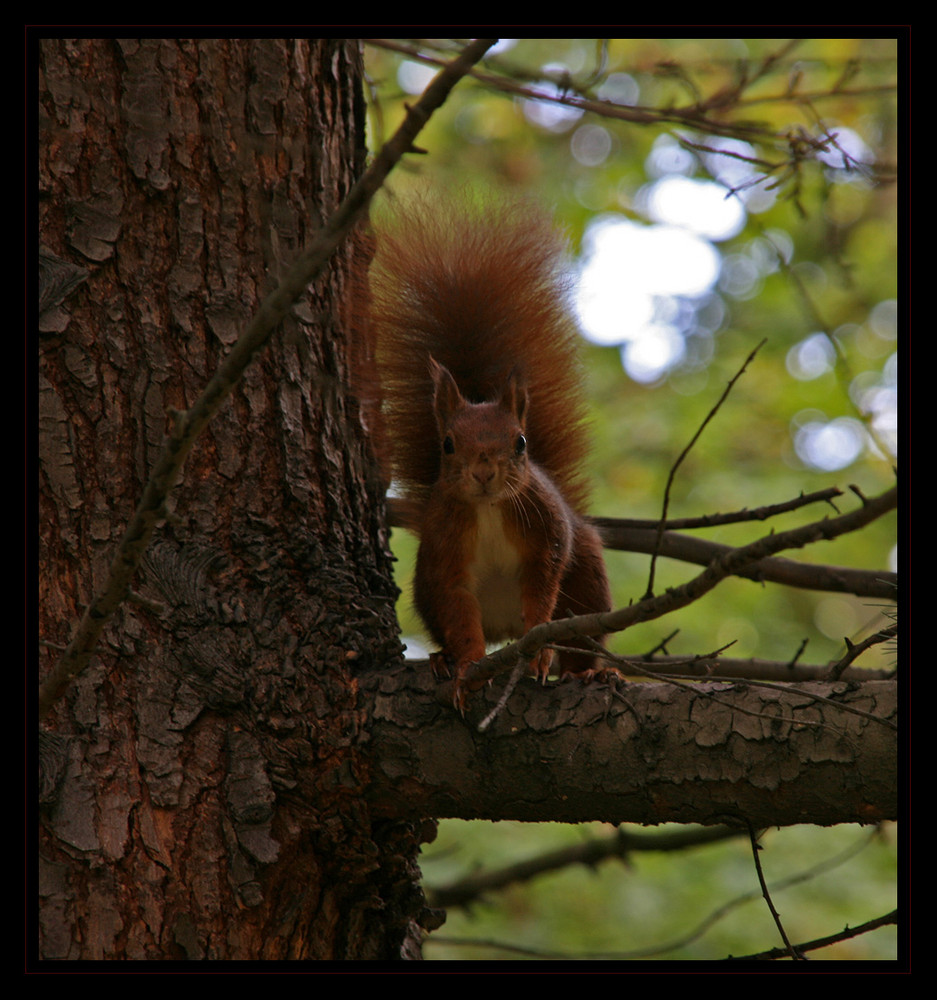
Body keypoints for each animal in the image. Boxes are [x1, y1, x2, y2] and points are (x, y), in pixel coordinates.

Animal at [370, 195, 612, 708]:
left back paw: (589, 674)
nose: (484, 474)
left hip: (587, 584)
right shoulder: (446, 563)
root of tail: (503, 629)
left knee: (582, 639)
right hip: (424, 591)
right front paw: (465, 668)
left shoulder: (545, 543)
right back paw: (441, 659)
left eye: (521, 442)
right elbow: (461, 614)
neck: (488, 510)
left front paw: (539, 658)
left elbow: (540, 602)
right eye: (447, 444)